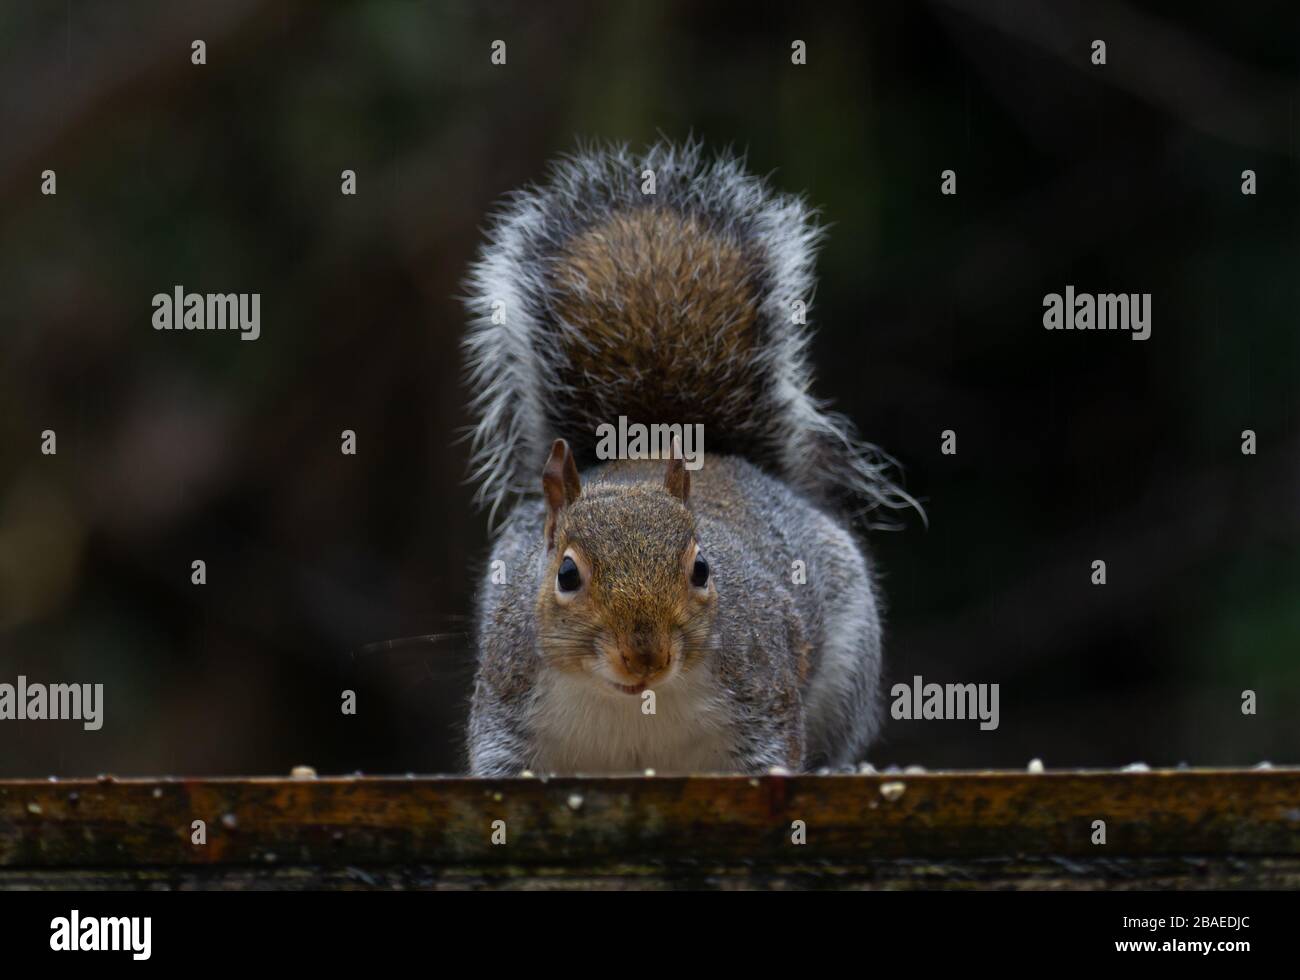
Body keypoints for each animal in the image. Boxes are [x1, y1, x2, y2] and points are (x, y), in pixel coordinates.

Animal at [460, 140, 915, 775]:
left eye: (701, 569)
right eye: (567, 575)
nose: (644, 655)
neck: (634, 703)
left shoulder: (764, 694)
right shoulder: (506, 701)